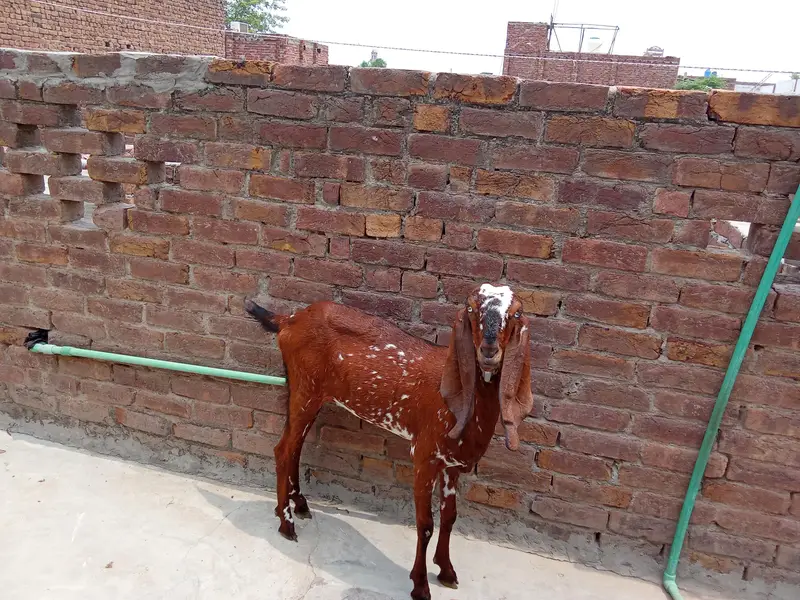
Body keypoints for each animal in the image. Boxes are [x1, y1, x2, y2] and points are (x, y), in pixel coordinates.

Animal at [244, 283, 533, 600]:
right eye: (470, 308)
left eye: (516, 313)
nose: (489, 350)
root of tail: (288, 320)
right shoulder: (425, 454)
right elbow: (425, 524)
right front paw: (420, 585)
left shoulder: (451, 463)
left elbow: (450, 516)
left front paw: (446, 571)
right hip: (305, 391)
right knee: (283, 450)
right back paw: (286, 524)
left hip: (305, 393)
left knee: (294, 447)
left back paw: (298, 505)